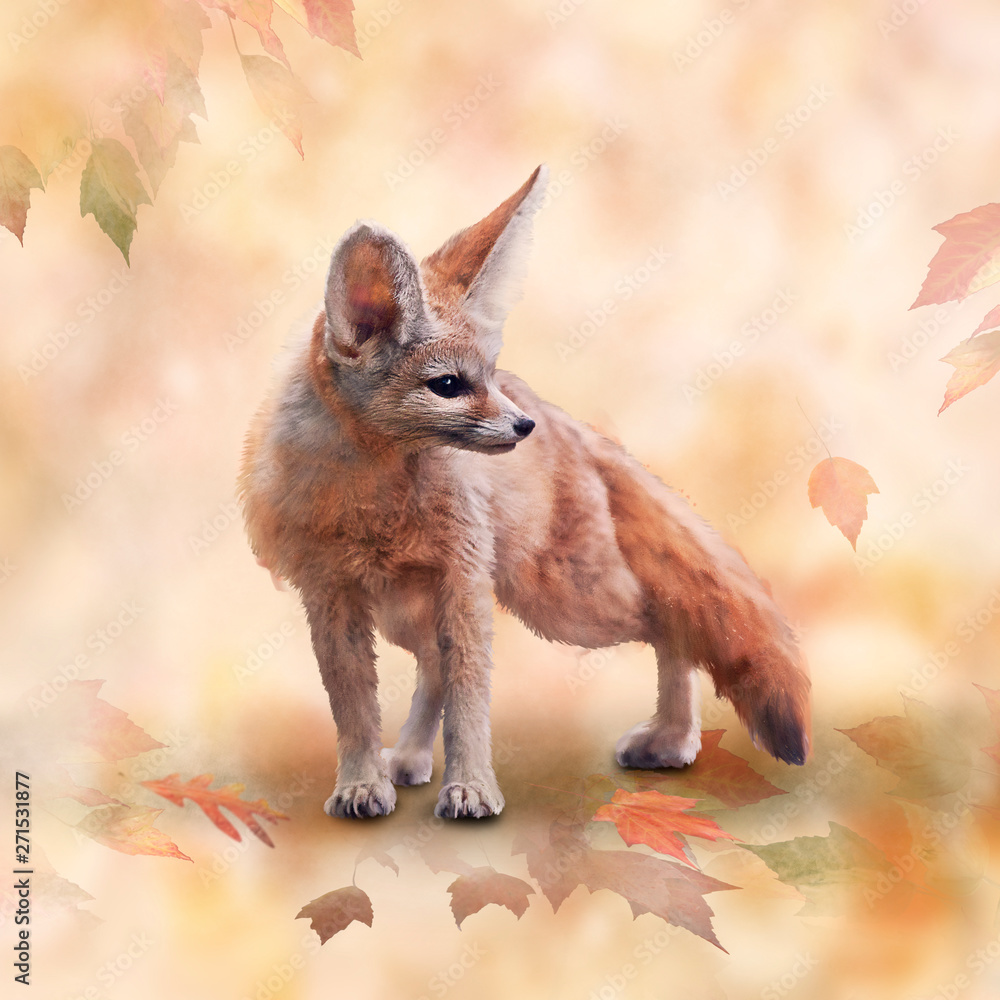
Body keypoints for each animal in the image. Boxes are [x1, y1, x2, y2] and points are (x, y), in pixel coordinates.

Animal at [238, 165, 811, 821]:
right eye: (449, 386)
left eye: (487, 376)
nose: (522, 426)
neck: (371, 497)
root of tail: (567, 422)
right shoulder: (331, 597)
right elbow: (355, 709)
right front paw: (362, 782)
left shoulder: (463, 583)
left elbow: (468, 700)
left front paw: (471, 787)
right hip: (415, 615)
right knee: (432, 667)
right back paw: (407, 758)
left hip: (570, 603)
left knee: (671, 618)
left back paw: (671, 739)